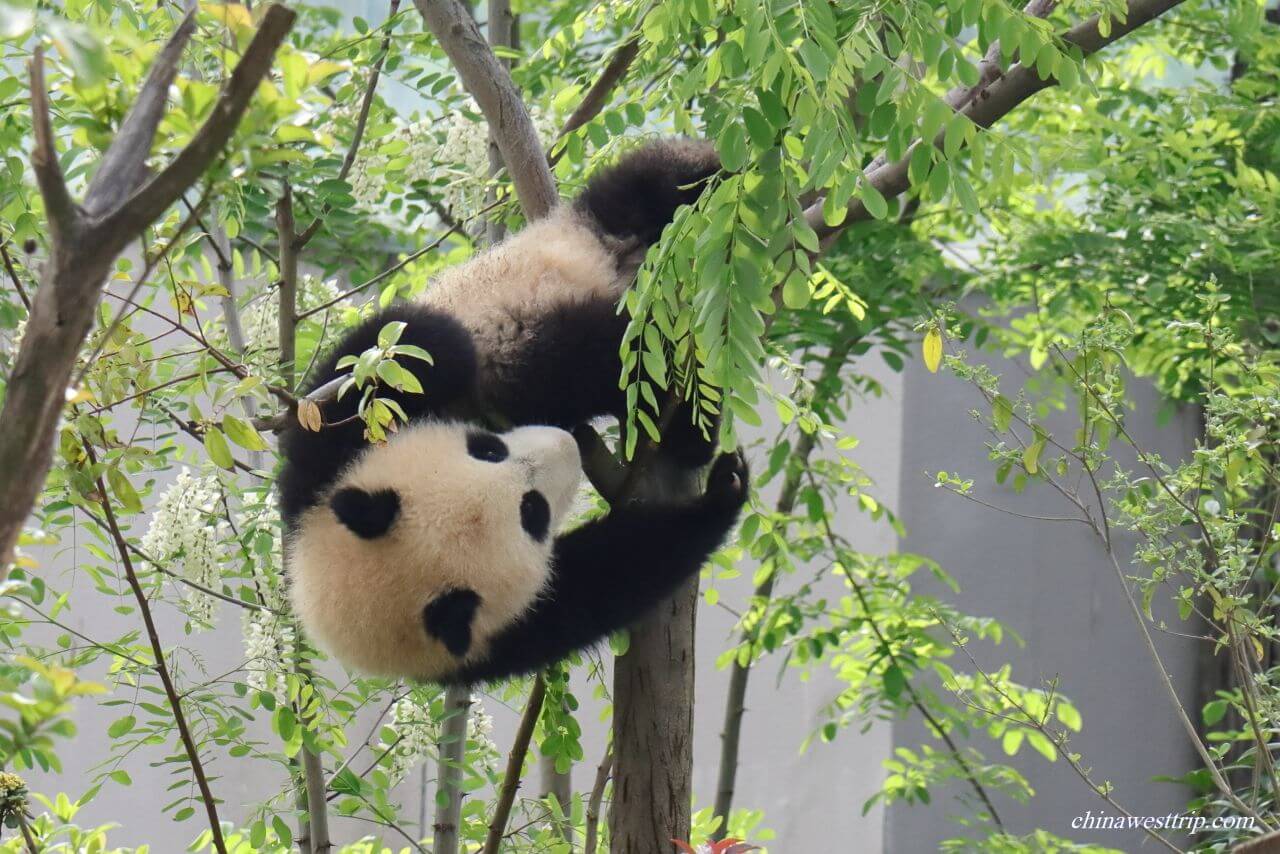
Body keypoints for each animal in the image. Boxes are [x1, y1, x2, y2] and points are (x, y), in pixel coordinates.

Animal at [278, 139, 749, 685]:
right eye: (533, 513)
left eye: (485, 449)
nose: (565, 444)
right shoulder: (499, 642)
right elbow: (613, 574)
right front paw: (721, 495)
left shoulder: (317, 467)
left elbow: (385, 354)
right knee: (589, 356)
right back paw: (687, 419)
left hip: (584, 234)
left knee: (647, 187)